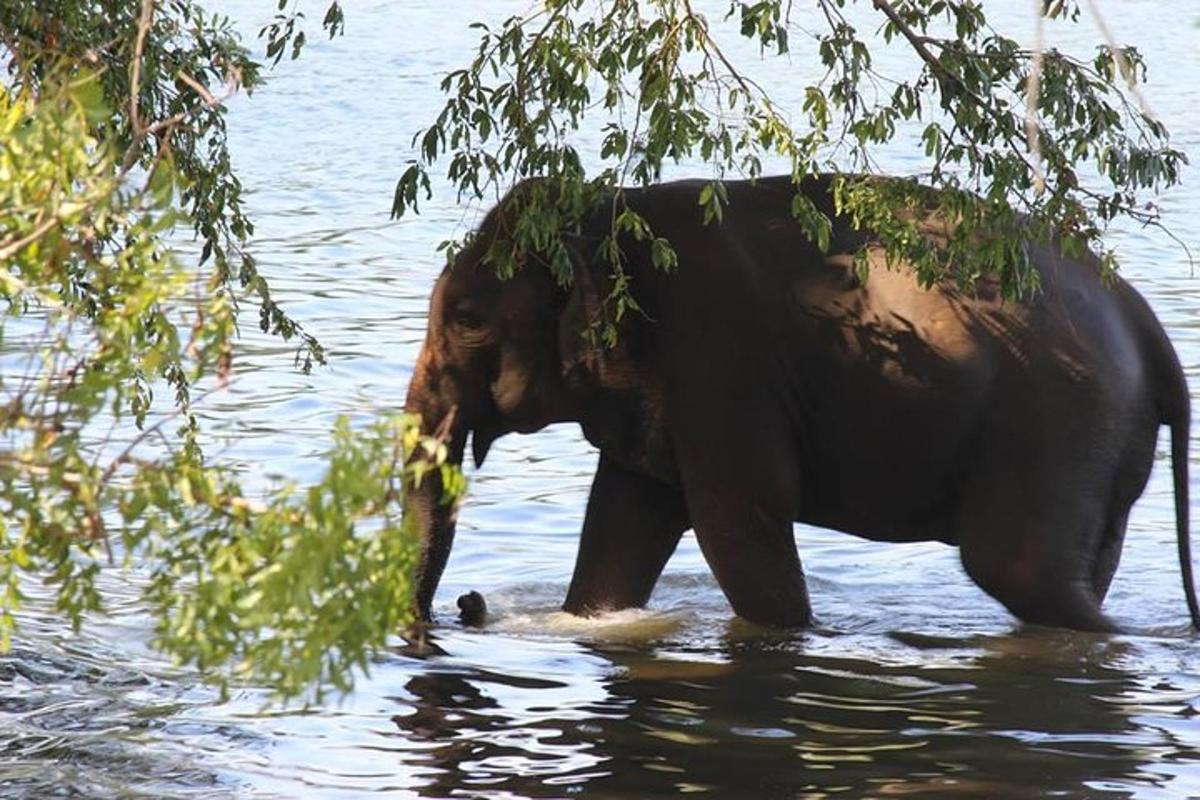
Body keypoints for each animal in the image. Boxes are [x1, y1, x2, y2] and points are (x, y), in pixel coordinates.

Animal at [403, 173, 1200, 633]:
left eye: (468, 319)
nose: (465, 605)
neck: (612, 214)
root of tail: (1148, 326)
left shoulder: (719, 362)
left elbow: (738, 519)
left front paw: (795, 635)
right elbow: (623, 528)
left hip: (1058, 424)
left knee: (1016, 569)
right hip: (1103, 446)